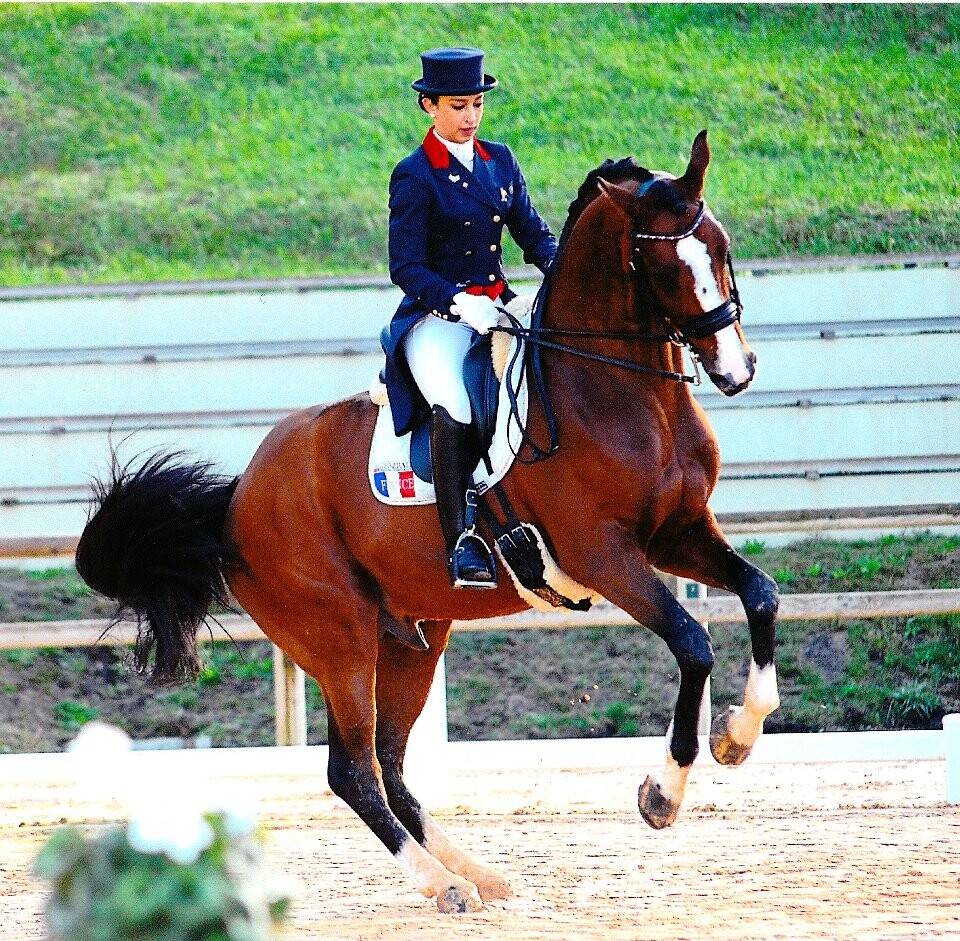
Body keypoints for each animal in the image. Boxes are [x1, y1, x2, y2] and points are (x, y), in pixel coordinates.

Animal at [76, 130, 780, 914]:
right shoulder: (604, 556)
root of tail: (236, 499)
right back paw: (441, 882)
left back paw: (477, 874)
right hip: (340, 637)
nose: (737, 369)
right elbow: (692, 641)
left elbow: (760, 594)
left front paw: (739, 735)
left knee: (391, 764)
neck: (624, 396)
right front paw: (664, 792)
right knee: (354, 770)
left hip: (409, 637)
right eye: (664, 265)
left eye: (720, 246)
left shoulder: (679, 533)